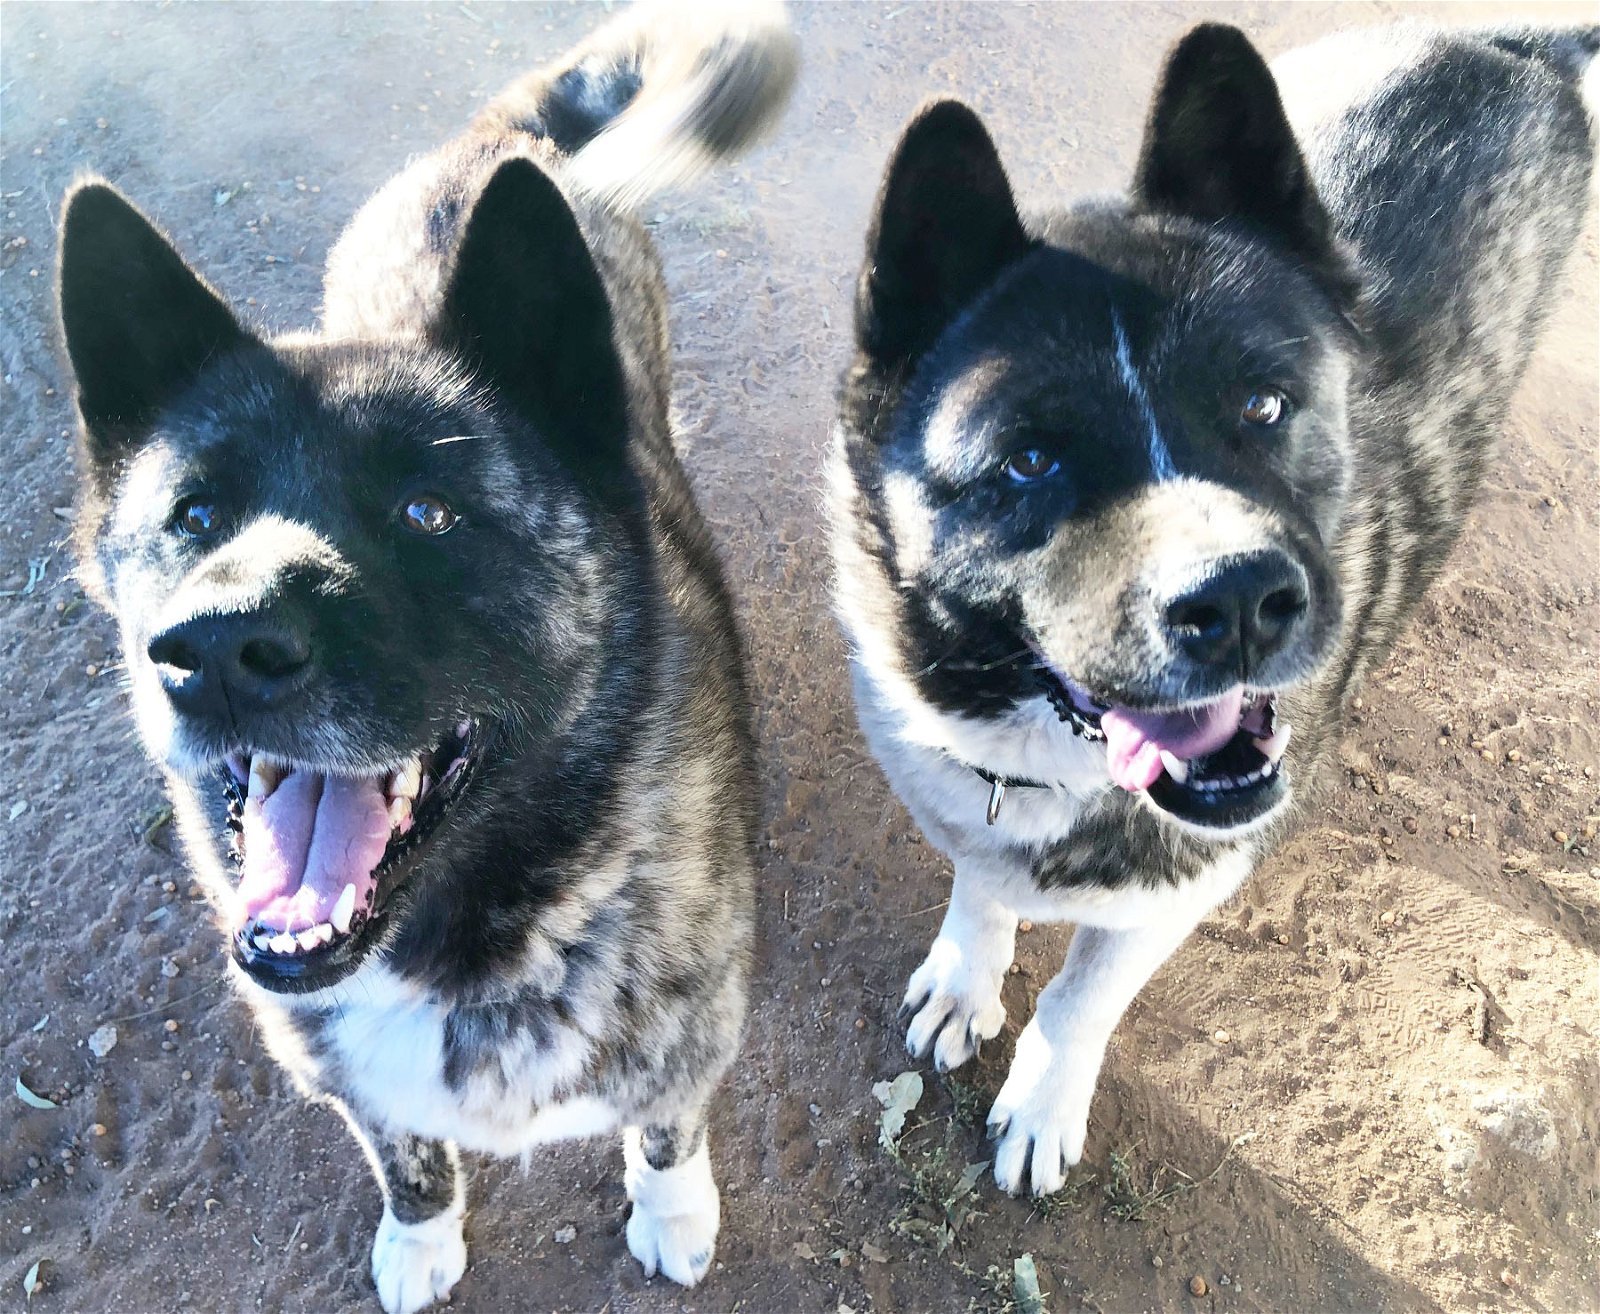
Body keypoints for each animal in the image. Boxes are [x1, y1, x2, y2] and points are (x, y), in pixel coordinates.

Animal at [62, 5, 800, 1305]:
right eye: (194, 515)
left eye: (428, 512)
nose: (212, 648)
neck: (477, 942)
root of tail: (493, 139)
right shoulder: (362, 1091)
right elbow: (410, 1161)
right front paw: (421, 1239)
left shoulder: (690, 1045)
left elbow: (665, 1134)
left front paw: (672, 1211)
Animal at [832, 25, 1593, 1197]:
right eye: (1030, 460)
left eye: (1263, 404)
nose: (1238, 602)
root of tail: (1513, 39)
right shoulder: (965, 792)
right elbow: (981, 883)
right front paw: (966, 977)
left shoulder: (1187, 879)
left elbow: (1082, 993)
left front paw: (1042, 1101)